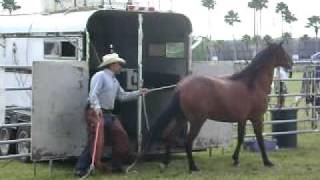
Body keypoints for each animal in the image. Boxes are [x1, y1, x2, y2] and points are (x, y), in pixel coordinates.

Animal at [148, 42, 292, 172]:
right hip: (196, 121)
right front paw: (267, 162)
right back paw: (193, 167)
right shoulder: (257, 118)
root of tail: (181, 87)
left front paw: (235, 159)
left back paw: (165, 163)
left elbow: (240, 138)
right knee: (188, 141)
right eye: (283, 52)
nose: (291, 64)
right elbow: (260, 140)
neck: (252, 85)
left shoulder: (242, 119)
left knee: (169, 135)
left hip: (181, 118)